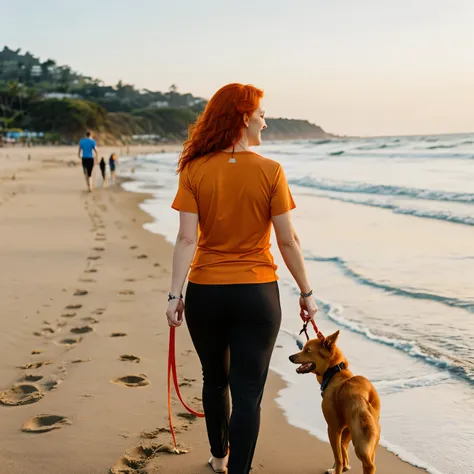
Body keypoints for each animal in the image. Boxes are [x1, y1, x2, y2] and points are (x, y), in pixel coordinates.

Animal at [286, 330, 380, 474]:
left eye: (308, 350)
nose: (290, 357)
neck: (335, 372)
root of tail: (364, 395)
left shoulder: (333, 428)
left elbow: (339, 456)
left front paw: (338, 468)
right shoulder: (346, 429)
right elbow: (343, 449)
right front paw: (345, 467)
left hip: (354, 437)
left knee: (365, 463)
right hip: (368, 437)